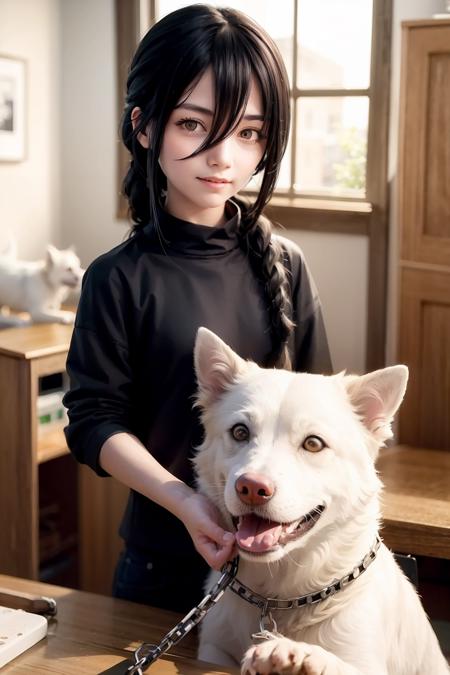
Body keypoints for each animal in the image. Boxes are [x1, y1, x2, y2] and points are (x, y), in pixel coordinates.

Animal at [192, 328, 448, 675]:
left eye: (313, 444)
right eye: (240, 432)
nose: (252, 487)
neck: (281, 597)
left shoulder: (364, 660)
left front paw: (297, 654)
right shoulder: (214, 649)